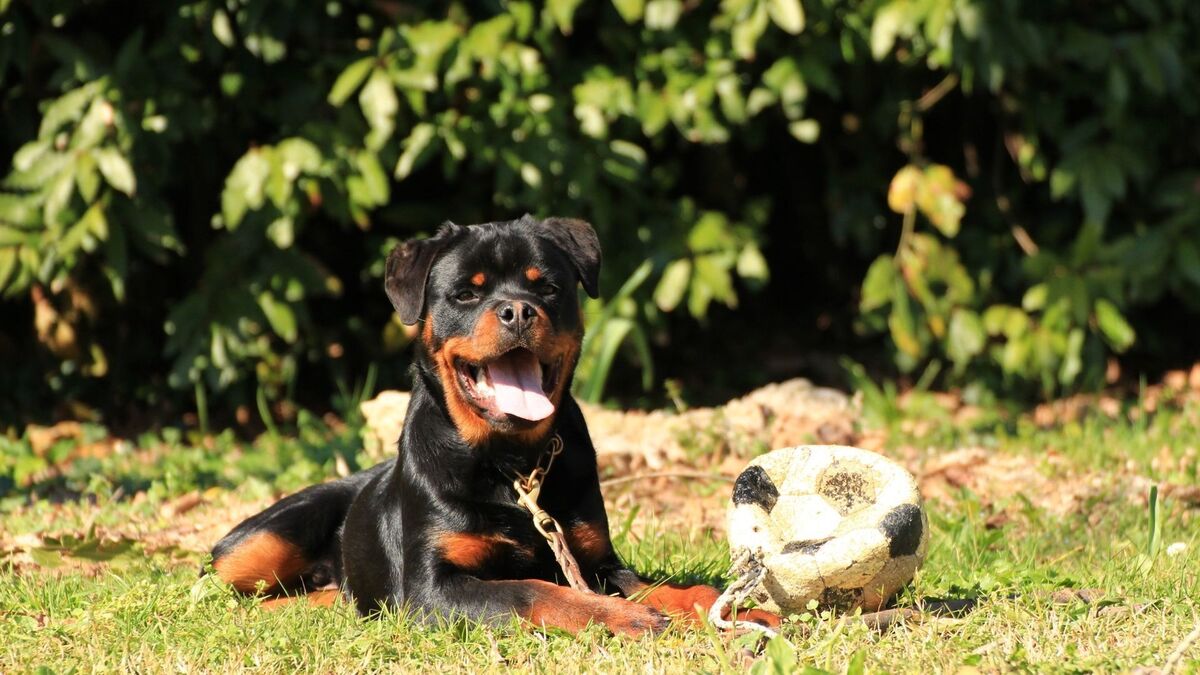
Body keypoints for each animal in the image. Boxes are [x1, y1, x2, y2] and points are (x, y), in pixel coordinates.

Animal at [208, 216, 777, 634]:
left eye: (547, 288)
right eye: (466, 294)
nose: (517, 311)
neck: (513, 462)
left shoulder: (598, 562)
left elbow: (670, 588)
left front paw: (737, 608)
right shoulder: (431, 589)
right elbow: (534, 589)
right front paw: (623, 616)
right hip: (256, 546)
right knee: (232, 591)